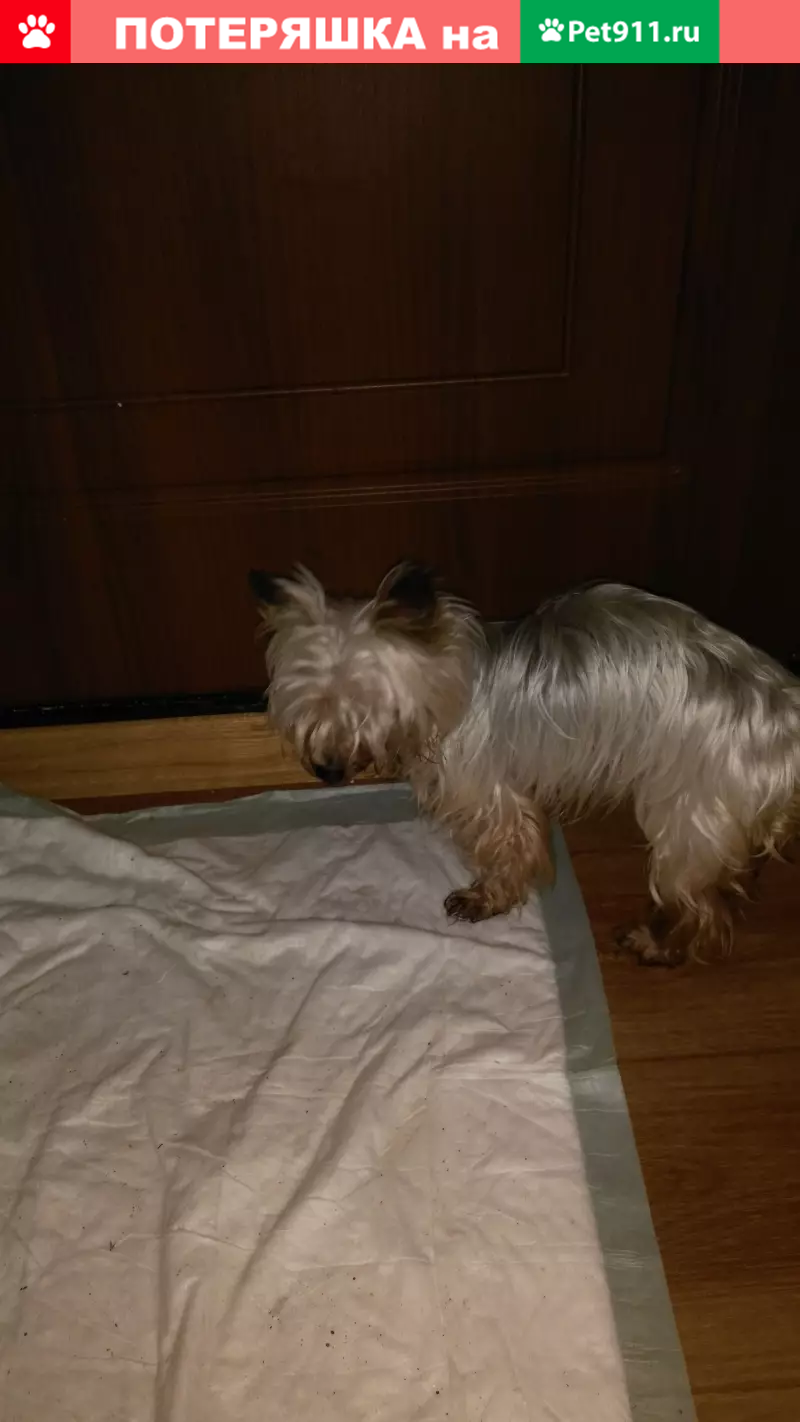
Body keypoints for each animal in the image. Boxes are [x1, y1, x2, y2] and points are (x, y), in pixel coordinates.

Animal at [249, 562, 800, 965]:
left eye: (365, 708)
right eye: (306, 709)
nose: (328, 772)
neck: (454, 684)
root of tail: (787, 713)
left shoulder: (489, 791)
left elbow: (512, 847)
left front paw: (486, 900)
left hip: (692, 808)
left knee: (700, 906)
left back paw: (658, 945)